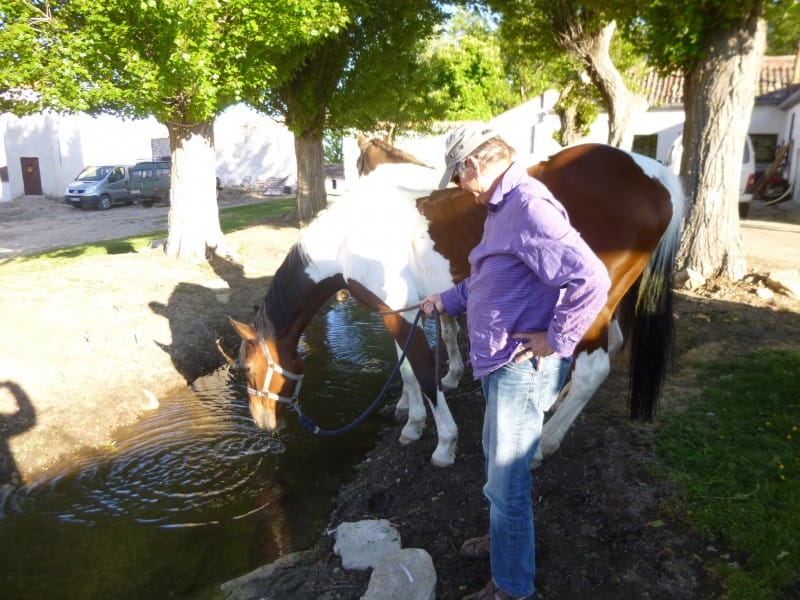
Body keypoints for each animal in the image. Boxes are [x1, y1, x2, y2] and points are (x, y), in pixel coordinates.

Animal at [230, 142, 680, 468]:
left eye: (249, 372)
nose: (263, 423)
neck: (347, 239)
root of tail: (655, 177)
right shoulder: (398, 313)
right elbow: (407, 371)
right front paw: (412, 424)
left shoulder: (403, 312)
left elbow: (424, 373)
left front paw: (444, 444)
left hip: (590, 302)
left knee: (593, 369)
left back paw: (543, 445)